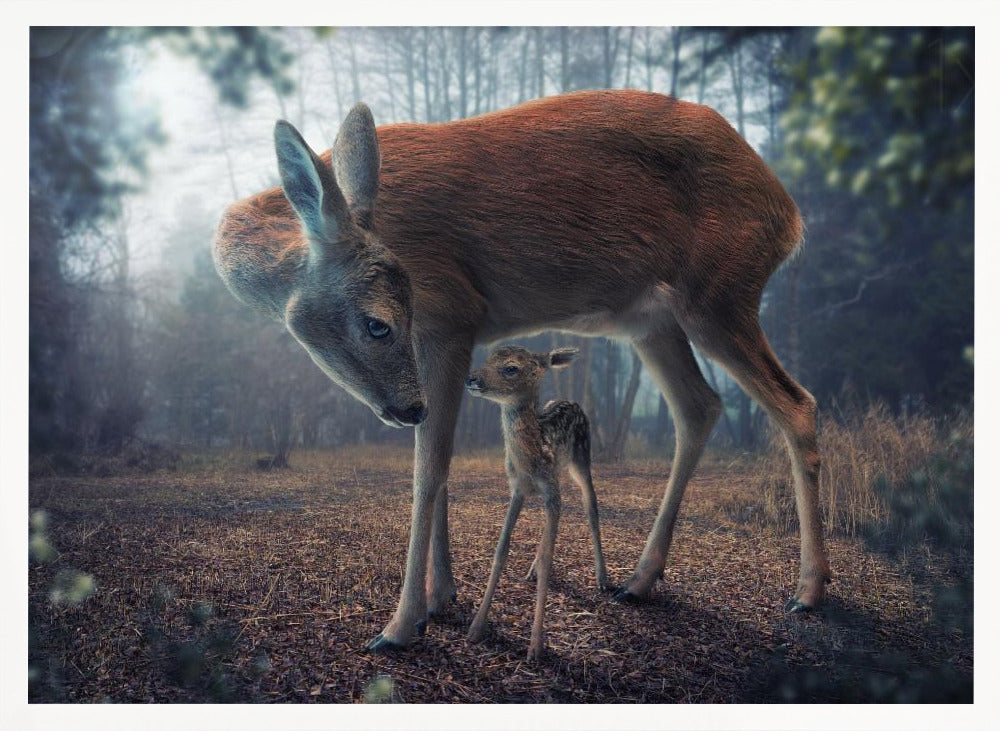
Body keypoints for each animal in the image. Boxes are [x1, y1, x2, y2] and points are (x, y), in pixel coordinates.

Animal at [464, 345, 607, 660]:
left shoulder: (551, 489)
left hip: (582, 458)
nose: (471, 378)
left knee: (591, 507)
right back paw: (532, 569)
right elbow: (501, 549)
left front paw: (536, 646)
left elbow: (550, 554)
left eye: (511, 368)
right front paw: (476, 628)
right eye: (489, 357)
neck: (531, 459)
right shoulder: (517, 488)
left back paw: (603, 578)